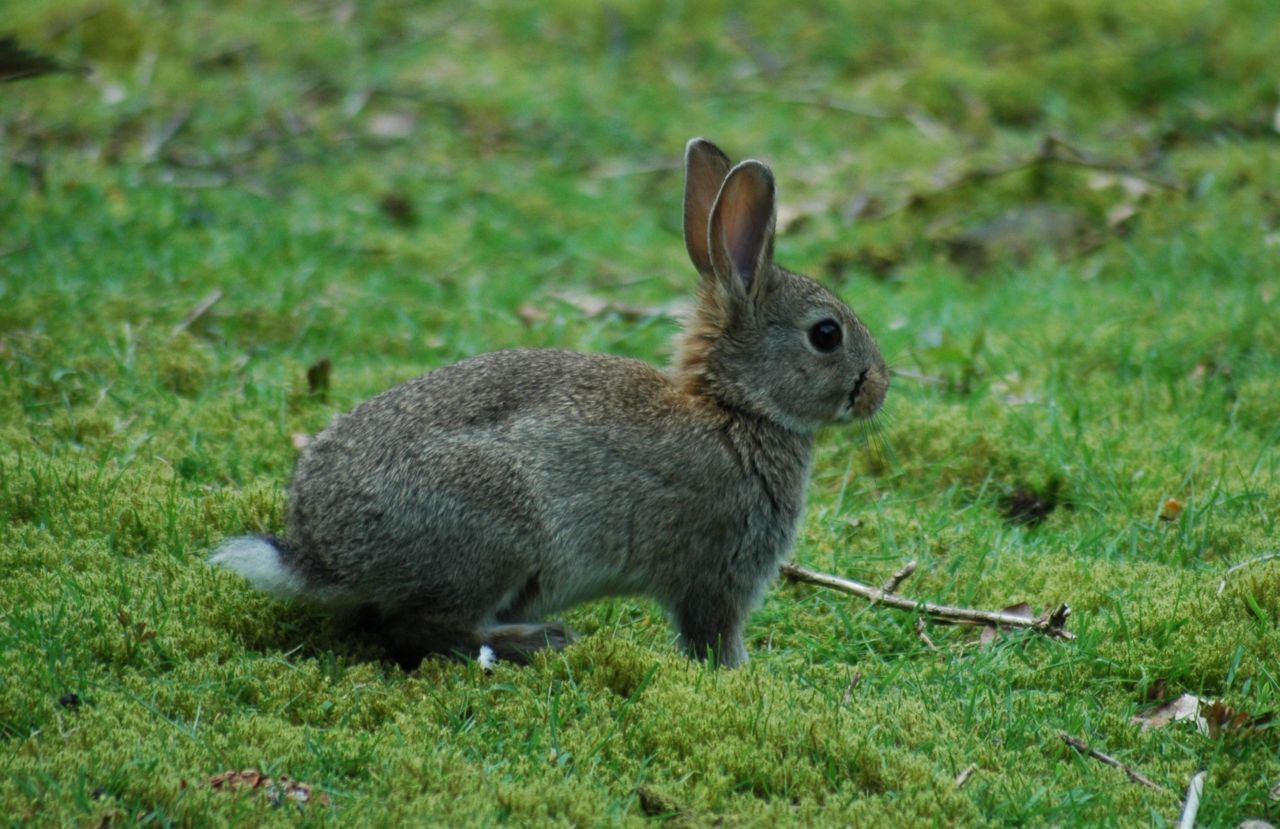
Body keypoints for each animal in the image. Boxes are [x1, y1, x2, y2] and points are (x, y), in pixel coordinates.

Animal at [212, 136, 890, 665]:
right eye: (826, 334)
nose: (880, 388)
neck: (736, 408)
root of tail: (320, 554)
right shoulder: (719, 574)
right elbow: (712, 640)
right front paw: (743, 678)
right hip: (493, 537)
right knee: (420, 628)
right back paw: (540, 640)